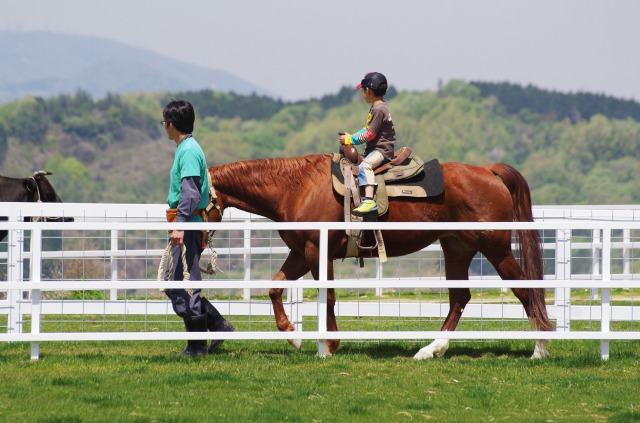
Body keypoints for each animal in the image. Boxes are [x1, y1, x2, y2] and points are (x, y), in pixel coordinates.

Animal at [208, 154, 552, 360]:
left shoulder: (317, 251)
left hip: (495, 248)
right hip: (457, 248)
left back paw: (539, 349)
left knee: (525, 290)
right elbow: (274, 287)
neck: (297, 188)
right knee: (460, 298)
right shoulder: (301, 253)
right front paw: (293, 336)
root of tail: (487, 170)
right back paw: (431, 349)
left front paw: (329, 345)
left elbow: (327, 296)